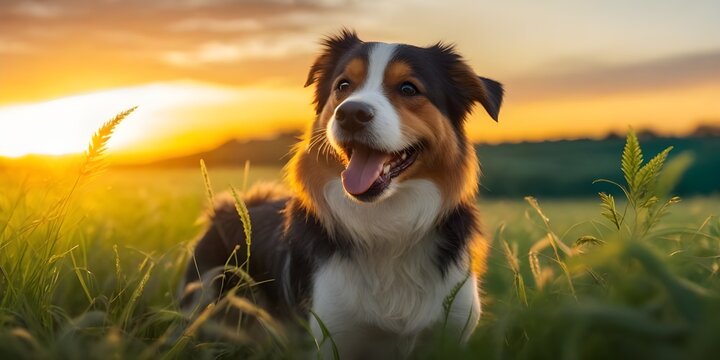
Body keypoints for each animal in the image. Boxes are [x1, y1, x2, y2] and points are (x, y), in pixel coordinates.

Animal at [183, 29, 504, 358]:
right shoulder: (332, 334)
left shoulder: (451, 329)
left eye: (408, 88)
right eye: (344, 86)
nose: (351, 113)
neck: (387, 223)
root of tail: (230, 208)